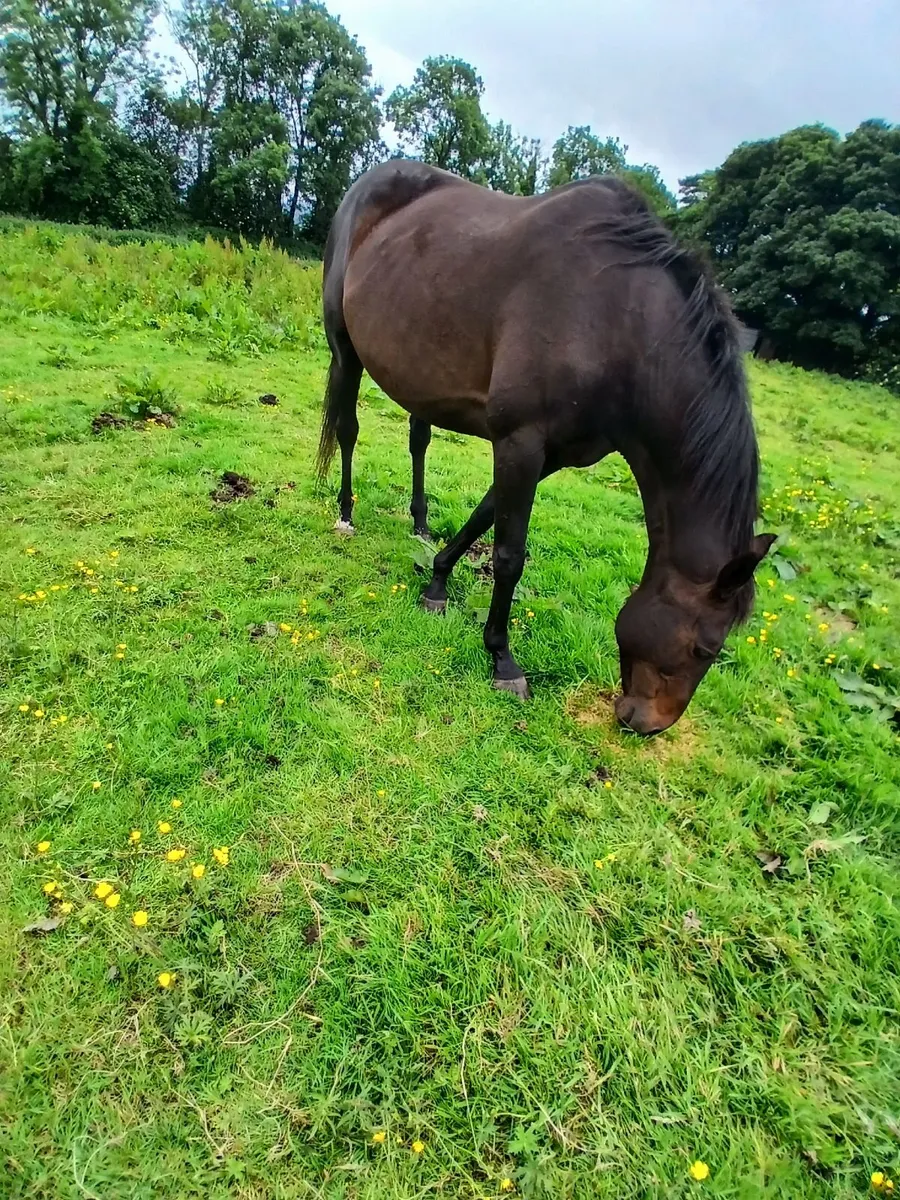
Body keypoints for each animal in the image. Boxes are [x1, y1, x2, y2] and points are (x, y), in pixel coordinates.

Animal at [316, 160, 774, 735]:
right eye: (704, 649)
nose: (648, 723)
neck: (616, 319)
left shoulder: (550, 453)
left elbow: (484, 515)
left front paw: (437, 582)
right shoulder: (520, 440)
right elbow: (510, 554)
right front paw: (502, 659)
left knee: (418, 437)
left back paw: (419, 522)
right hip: (345, 348)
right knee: (349, 429)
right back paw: (345, 512)